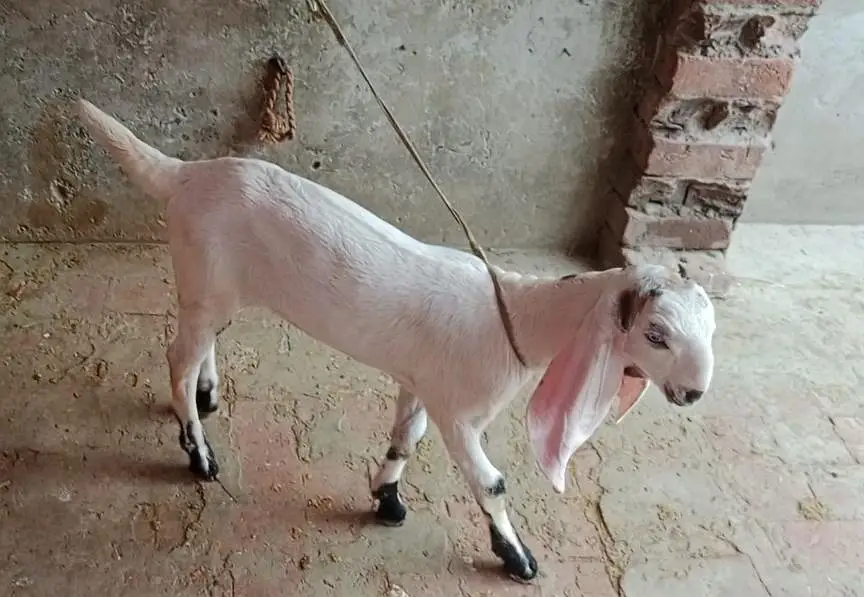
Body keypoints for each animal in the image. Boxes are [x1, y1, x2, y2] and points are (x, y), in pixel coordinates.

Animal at [76, 99, 716, 583]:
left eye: (711, 330)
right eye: (655, 334)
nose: (694, 394)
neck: (514, 315)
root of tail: (185, 174)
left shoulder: (422, 383)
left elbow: (406, 437)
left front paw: (386, 498)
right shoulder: (460, 413)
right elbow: (492, 483)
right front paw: (518, 559)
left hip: (218, 288)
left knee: (203, 342)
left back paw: (208, 396)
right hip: (201, 275)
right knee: (177, 357)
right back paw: (199, 452)